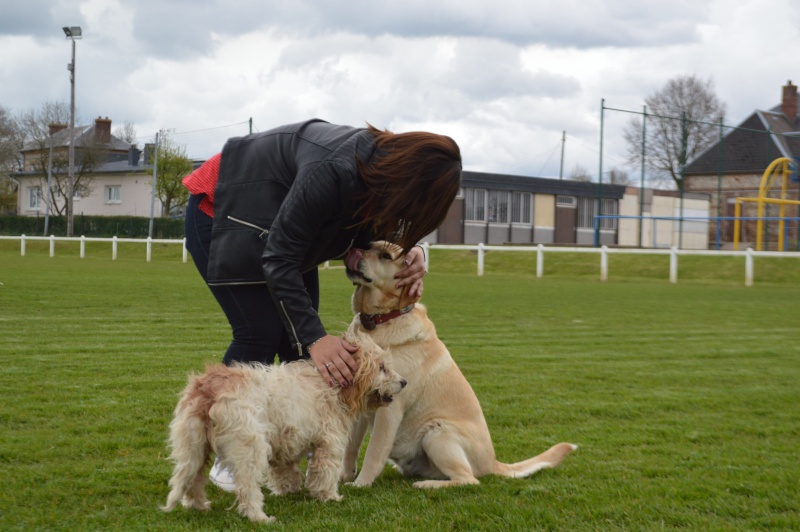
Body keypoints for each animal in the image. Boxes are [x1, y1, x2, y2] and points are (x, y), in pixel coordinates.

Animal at [166, 332, 410, 524]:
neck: (327, 383)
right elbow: (325, 471)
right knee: (246, 488)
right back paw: (259, 517)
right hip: (250, 449)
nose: (404, 382)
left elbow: (285, 470)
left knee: (193, 480)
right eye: (382, 368)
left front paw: (288, 490)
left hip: (193, 447)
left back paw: (198, 506)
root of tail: (209, 388)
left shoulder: (285, 440)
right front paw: (329, 496)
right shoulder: (329, 442)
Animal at [342, 243, 576, 488]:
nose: (355, 249)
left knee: (468, 479)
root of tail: (492, 462)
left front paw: (361, 484)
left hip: (437, 433)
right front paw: (343, 477)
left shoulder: (390, 407)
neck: (378, 323)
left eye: (386, 256)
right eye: (369, 245)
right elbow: (350, 447)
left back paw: (427, 485)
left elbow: (374, 451)